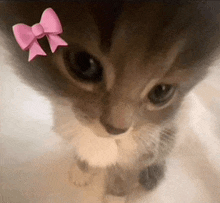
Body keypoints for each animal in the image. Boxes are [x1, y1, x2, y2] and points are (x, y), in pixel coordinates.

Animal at [0, 0, 220, 201]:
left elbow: (123, 174)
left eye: (161, 92)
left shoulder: (142, 149)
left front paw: (115, 195)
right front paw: (82, 170)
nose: (116, 128)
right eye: (84, 64)